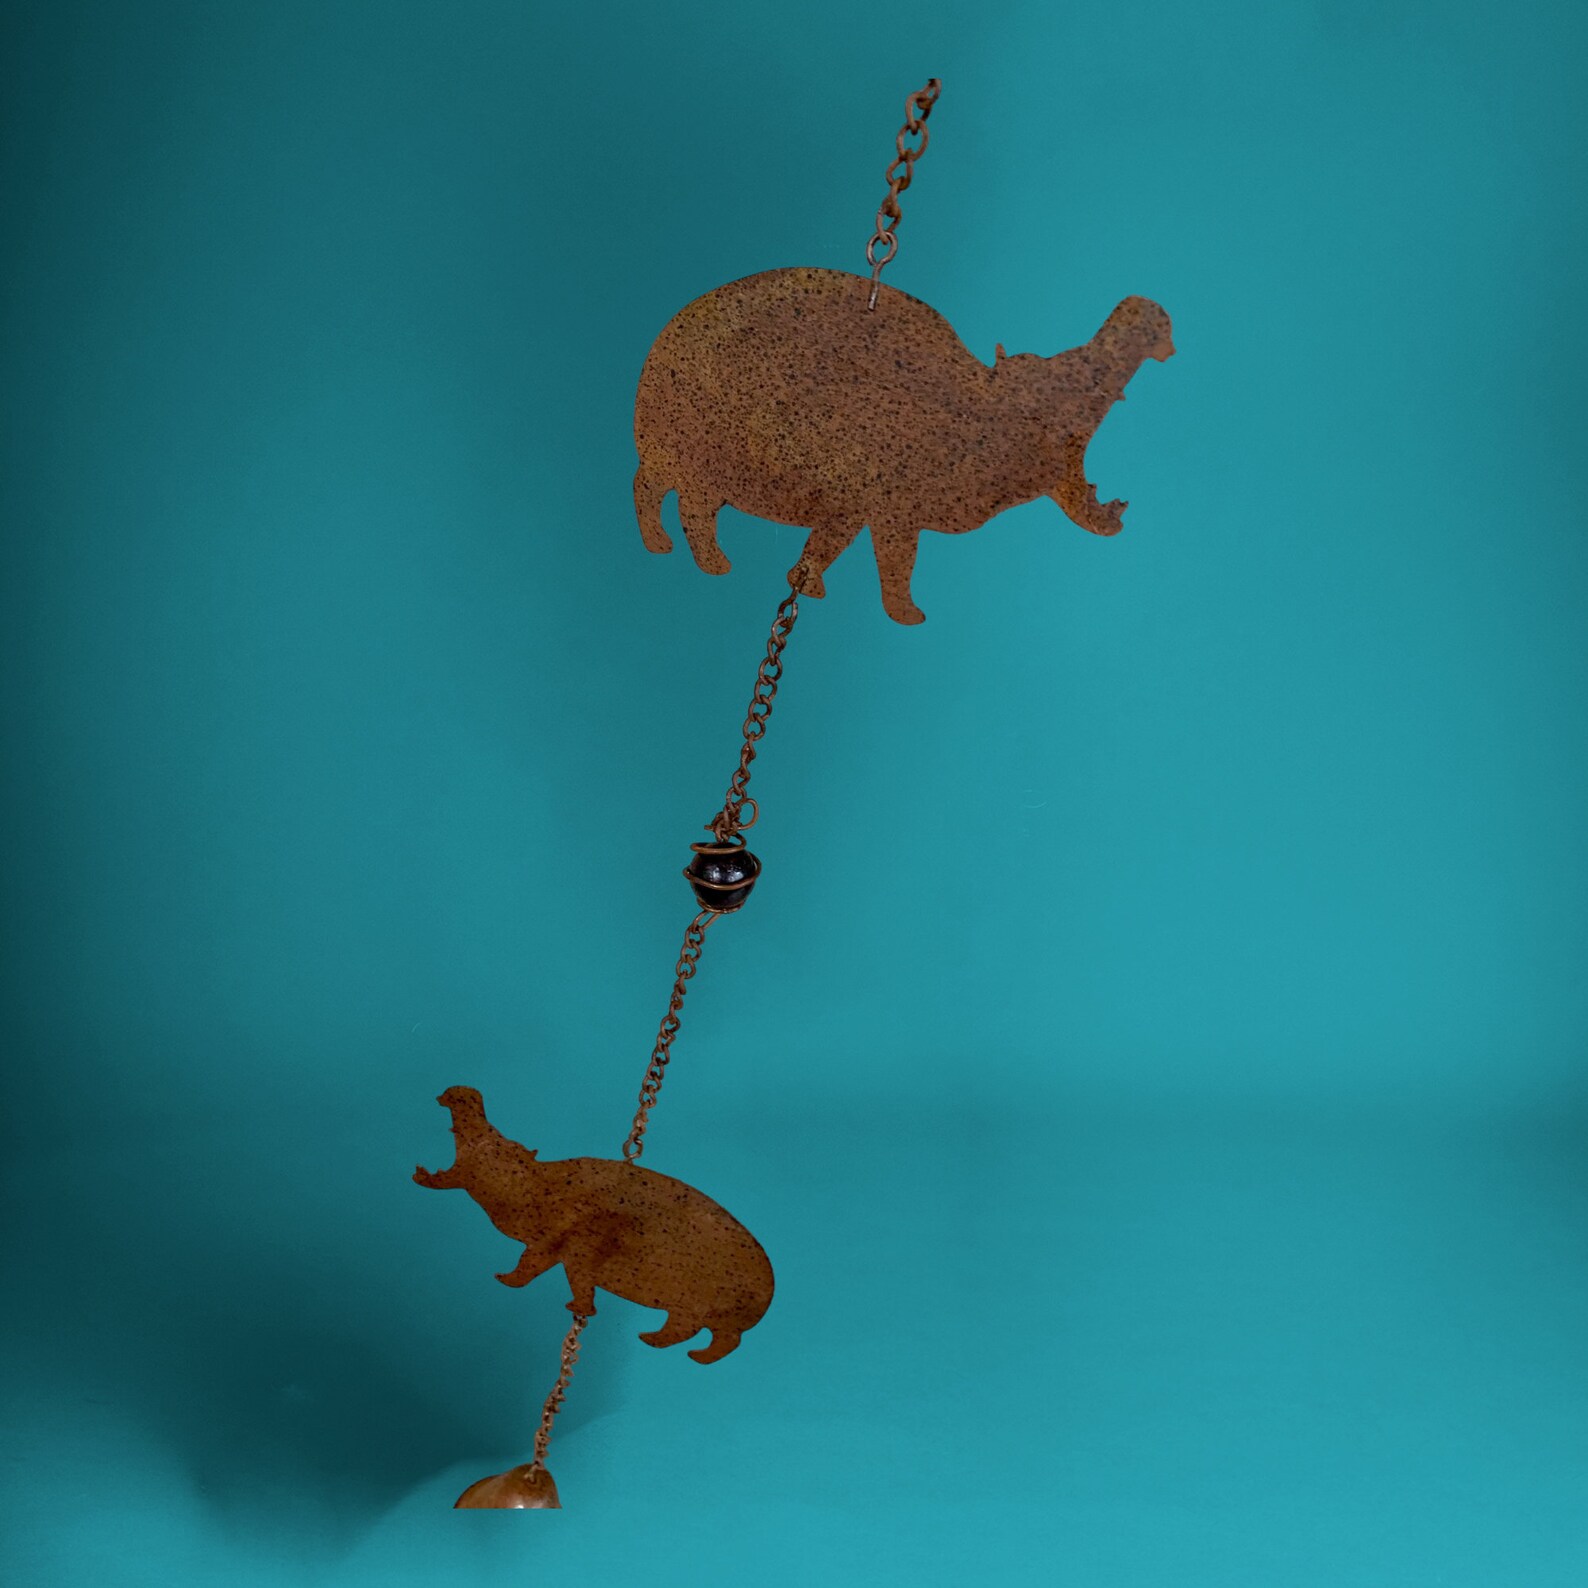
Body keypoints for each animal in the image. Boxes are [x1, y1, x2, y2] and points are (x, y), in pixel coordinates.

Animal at [414, 1086, 773, 1364]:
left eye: (504, 1146)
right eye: (514, 1143)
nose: (465, 1092)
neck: (538, 1189)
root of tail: (768, 1295)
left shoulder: (572, 1248)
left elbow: (556, 1272)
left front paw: (518, 1284)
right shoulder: (553, 1246)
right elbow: (538, 1266)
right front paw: (512, 1281)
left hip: (709, 1311)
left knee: (721, 1340)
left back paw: (684, 1353)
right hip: (690, 1310)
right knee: (691, 1330)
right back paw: (654, 1340)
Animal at [633, 266, 1174, 624]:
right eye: (1048, 371)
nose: (1145, 311)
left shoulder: (863, 510)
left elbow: (832, 549)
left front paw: (811, 585)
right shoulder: (883, 508)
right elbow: (892, 563)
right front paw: (905, 613)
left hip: (697, 466)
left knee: (681, 501)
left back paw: (693, 555)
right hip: (683, 450)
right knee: (662, 493)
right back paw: (682, 552)